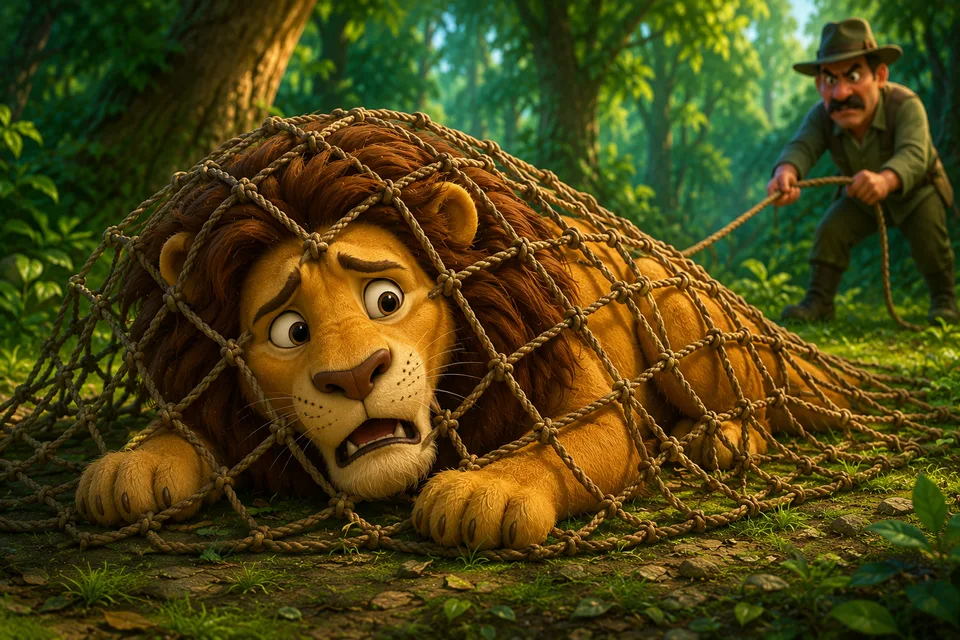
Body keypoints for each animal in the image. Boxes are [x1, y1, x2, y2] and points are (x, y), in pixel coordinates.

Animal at [75, 121, 851, 550]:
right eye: (290, 330)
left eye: (386, 299)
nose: (353, 376)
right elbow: (191, 430)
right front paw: (133, 464)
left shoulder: (581, 390)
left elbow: (558, 448)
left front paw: (488, 492)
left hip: (678, 318)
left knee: (755, 405)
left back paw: (721, 440)